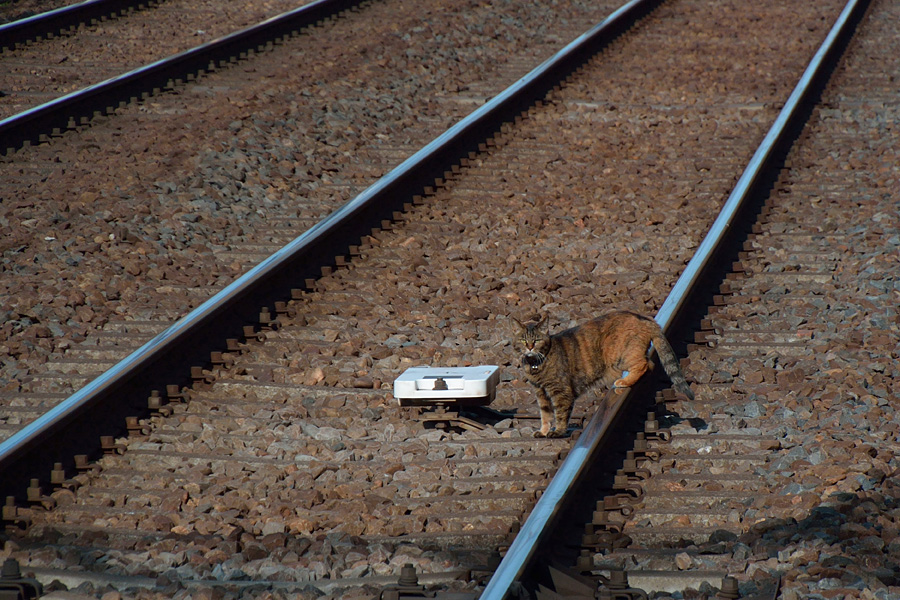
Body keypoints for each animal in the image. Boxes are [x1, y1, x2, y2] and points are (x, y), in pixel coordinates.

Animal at [510, 312, 692, 438]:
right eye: (523, 340)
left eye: (537, 340)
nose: (530, 347)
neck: (536, 364)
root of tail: (646, 319)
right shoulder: (540, 393)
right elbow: (545, 414)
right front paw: (543, 431)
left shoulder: (560, 391)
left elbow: (560, 413)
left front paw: (558, 431)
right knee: (649, 364)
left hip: (621, 356)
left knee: (645, 364)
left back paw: (623, 381)